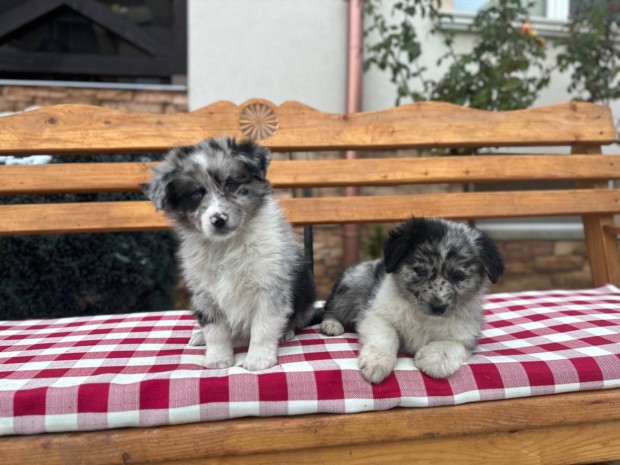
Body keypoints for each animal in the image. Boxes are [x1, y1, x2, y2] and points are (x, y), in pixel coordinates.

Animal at [145, 137, 314, 370]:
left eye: (231, 185)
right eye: (195, 194)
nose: (219, 219)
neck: (226, 245)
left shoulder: (269, 288)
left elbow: (263, 327)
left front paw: (258, 360)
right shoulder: (205, 293)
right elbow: (215, 330)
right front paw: (218, 359)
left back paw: (286, 332)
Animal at [320, 217, 504, 380]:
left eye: (458, 276)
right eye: (420, 270)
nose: (438, 307)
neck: (424, 317)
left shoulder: (469, 333)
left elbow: (454, 344)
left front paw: (434, 359)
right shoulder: (375, 314)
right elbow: (387, 334)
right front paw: (377, 362)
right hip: (354, 282)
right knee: (330, 308)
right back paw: (331, 325)